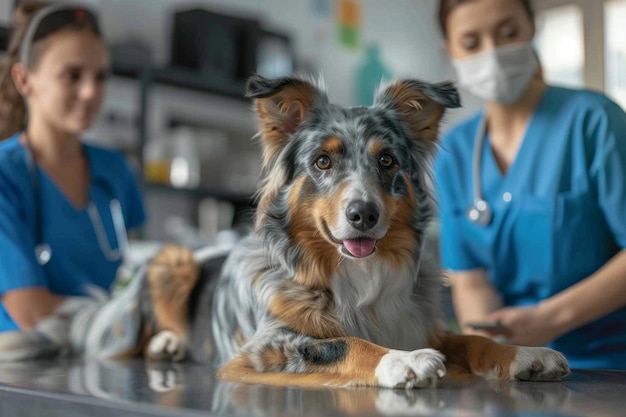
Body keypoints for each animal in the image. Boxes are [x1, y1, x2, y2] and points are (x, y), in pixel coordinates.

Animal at [143, 74, 572, 386]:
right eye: (322, 161)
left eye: (386, 160)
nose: (363, 214)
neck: (356, 272)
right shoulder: (265, 345)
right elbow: (343, 343)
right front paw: (402, 360)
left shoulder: (420, 324)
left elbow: (472, 338)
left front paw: (524, 353)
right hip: (174, 260)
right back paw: (167, 343)